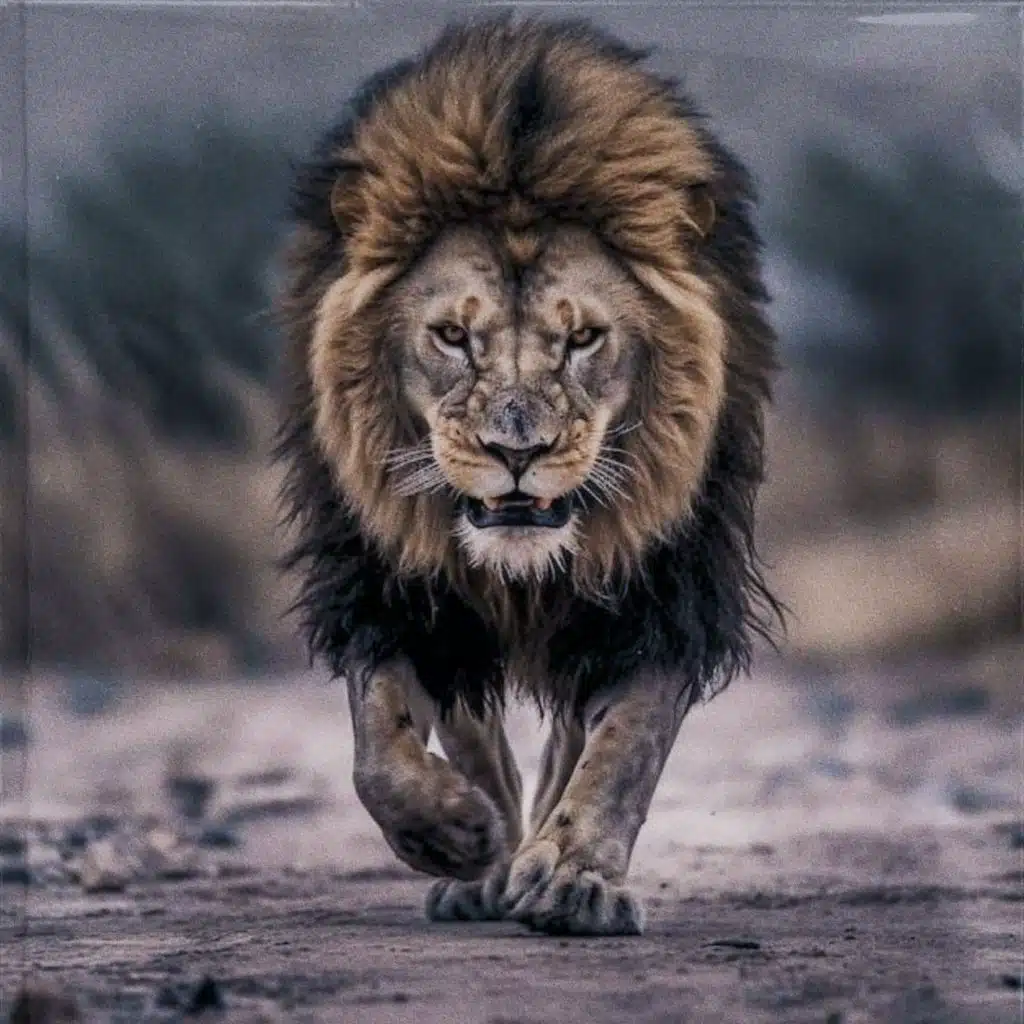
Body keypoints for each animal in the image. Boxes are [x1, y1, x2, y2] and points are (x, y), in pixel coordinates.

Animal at [275, 15, 783, 936]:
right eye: (450, 335)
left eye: (583, 338)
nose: (518, 451)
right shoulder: (388, 584)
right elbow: (379, 741)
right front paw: (450, 832)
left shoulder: (662, 590)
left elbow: (625, 745)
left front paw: (576, 876)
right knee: (473, 728)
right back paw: (487, 859)